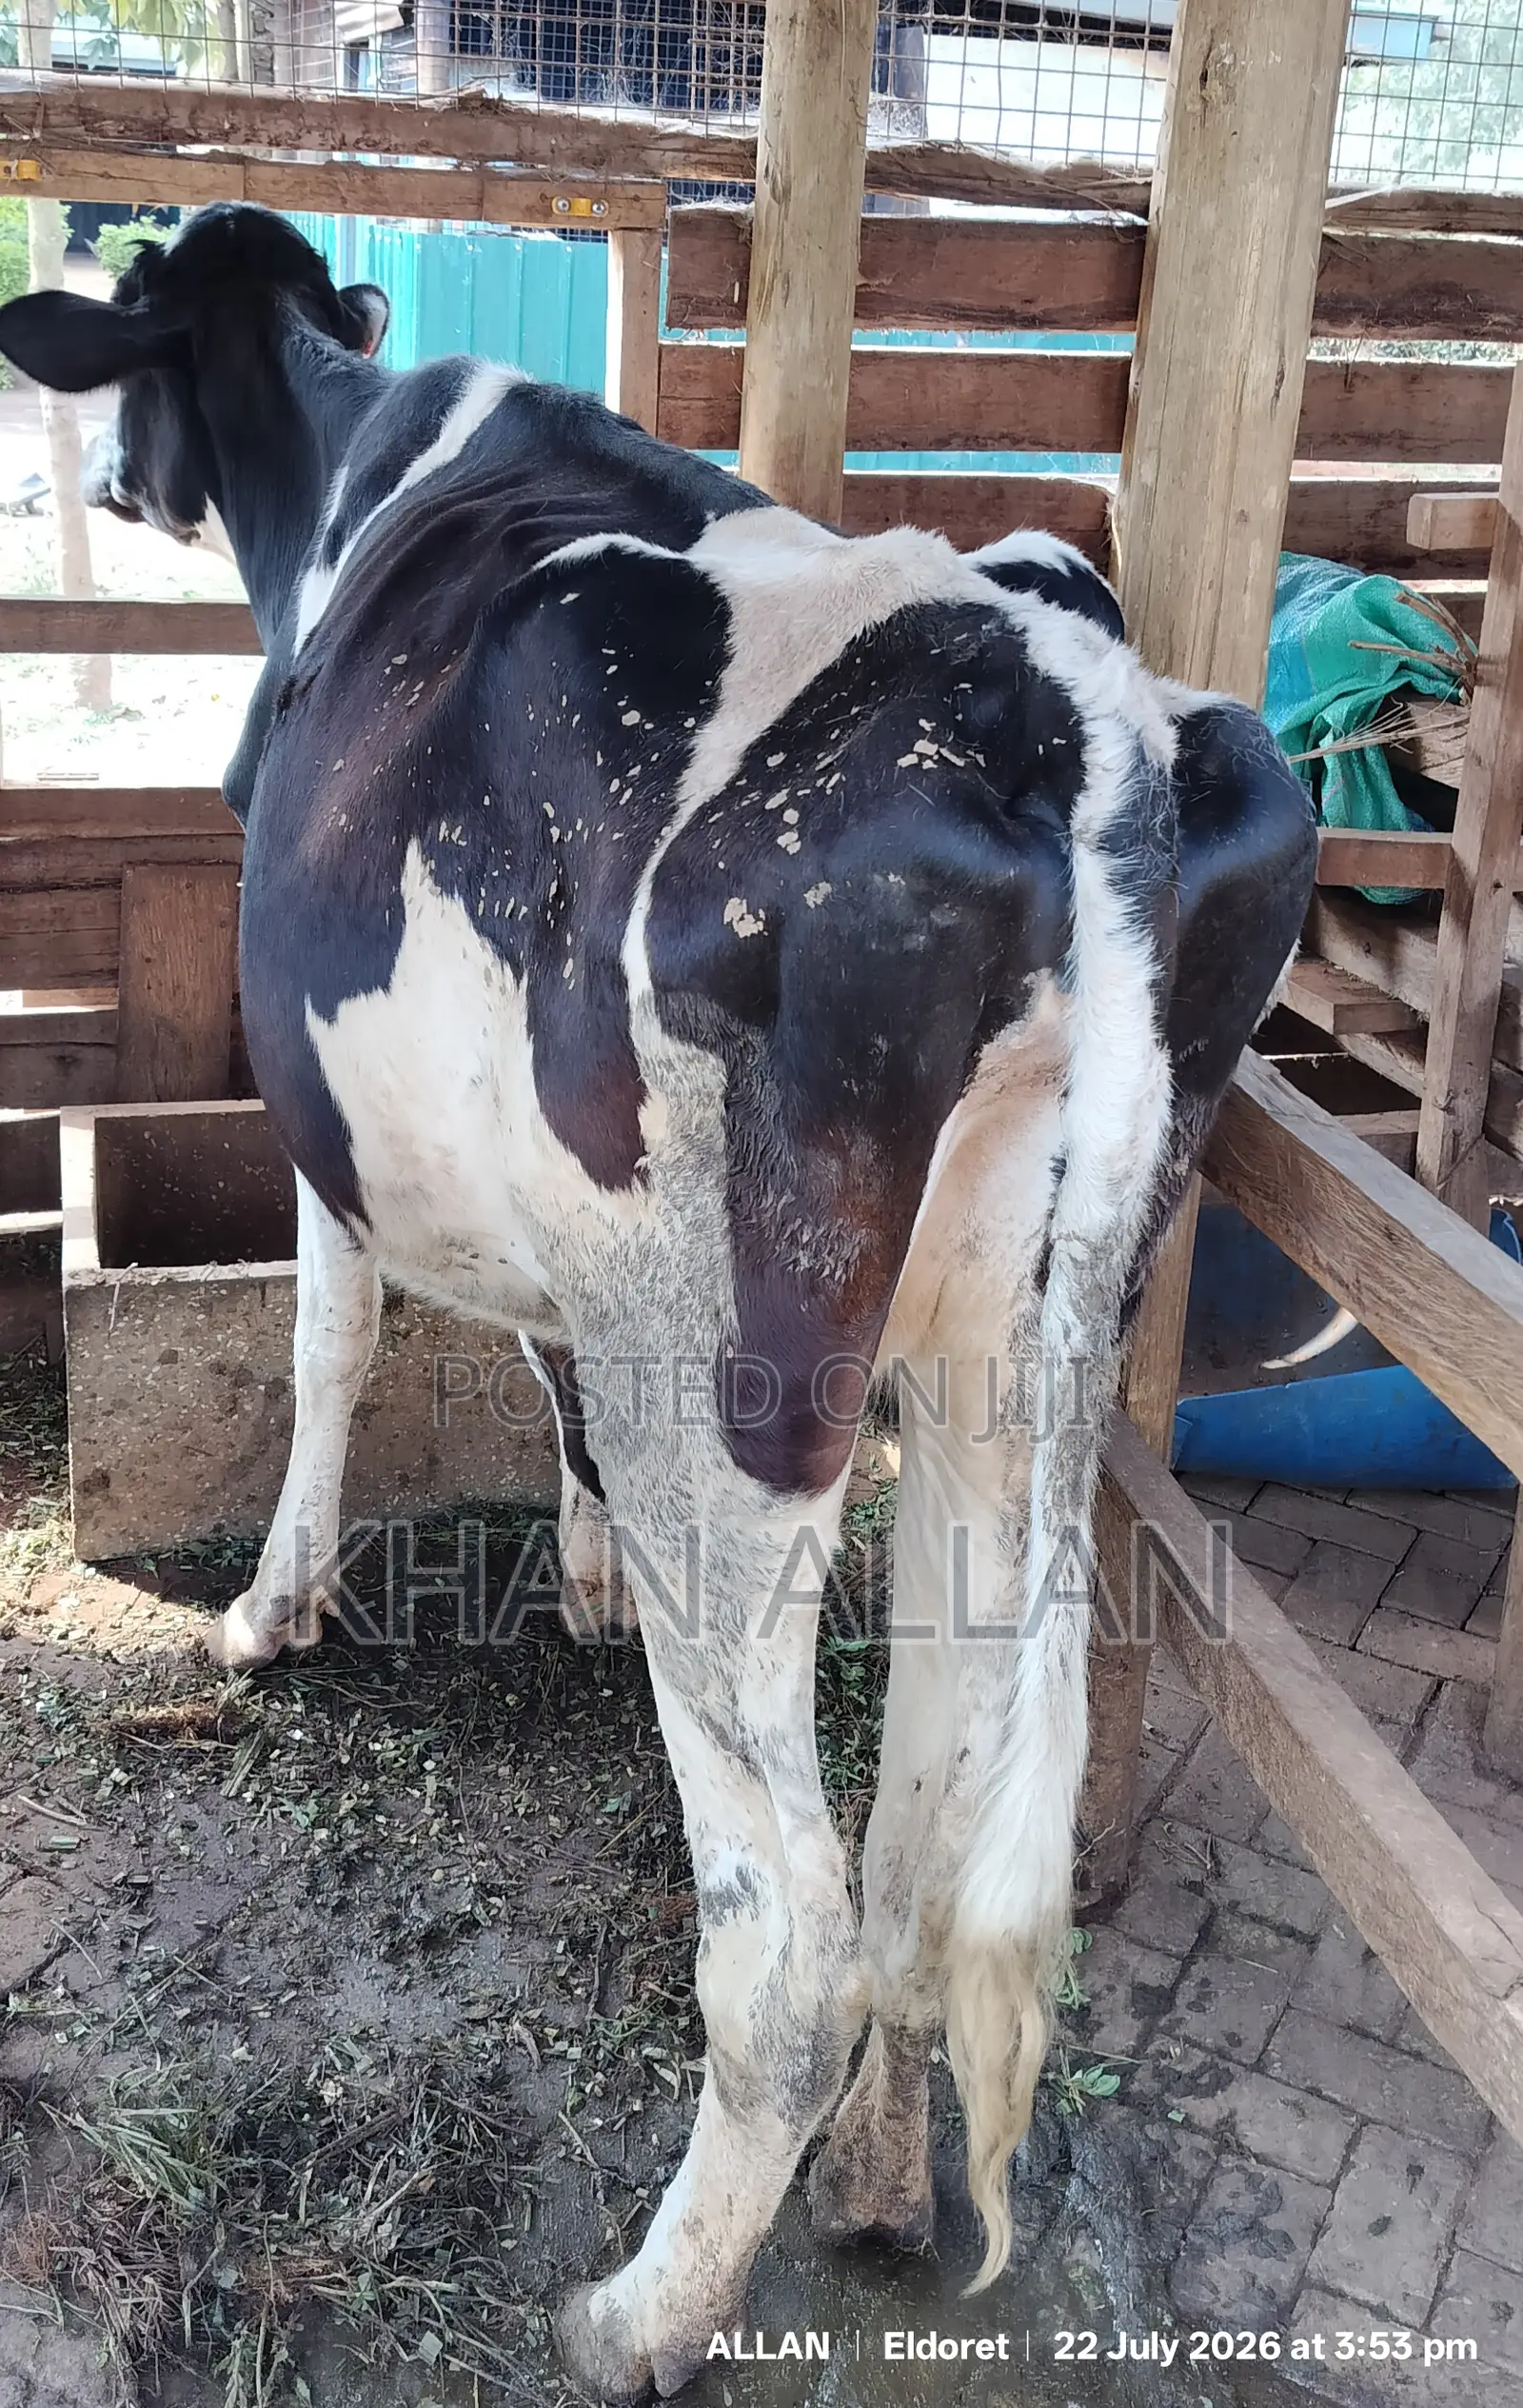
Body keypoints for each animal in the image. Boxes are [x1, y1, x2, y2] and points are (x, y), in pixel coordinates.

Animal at [0, 204, 1316, 2403]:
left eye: (140, 336)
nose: (101, 475)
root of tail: (1081, 723)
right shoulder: (576, 1250)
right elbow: (537, 1372)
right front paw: (584, 1564)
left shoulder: (326, 1109)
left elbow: (332, 1339)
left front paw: (276, 1606)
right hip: (993, 1357)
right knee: (921, 1839)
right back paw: (871, 2180)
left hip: (734, 1377)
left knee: (785, 1926)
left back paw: (636, 2312)